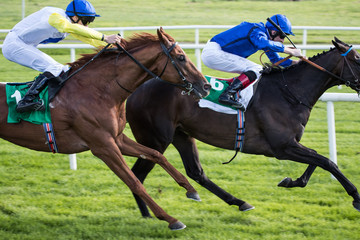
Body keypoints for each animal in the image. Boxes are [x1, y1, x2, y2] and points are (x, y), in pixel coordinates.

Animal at [0, 28, 211, 231]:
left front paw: (191, 190)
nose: (206, 85)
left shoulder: (117, 139)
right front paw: (171, 219)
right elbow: (134, 182)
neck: (100, 91)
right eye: (181, 57)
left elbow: (156, 155)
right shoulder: (103, 147)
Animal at [127, 38, 360, 218]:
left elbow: (319, 160)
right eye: (357, 58)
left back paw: (239, 202)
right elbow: (327, 162)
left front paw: (291, 181)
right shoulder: (282, 148)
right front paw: (356, 197)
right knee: (137, 174)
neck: (288, 93)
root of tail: (134, 91)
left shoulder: (290, 144)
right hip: (155, 139)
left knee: (196, 172)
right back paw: (148, 215)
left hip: (181, 135)